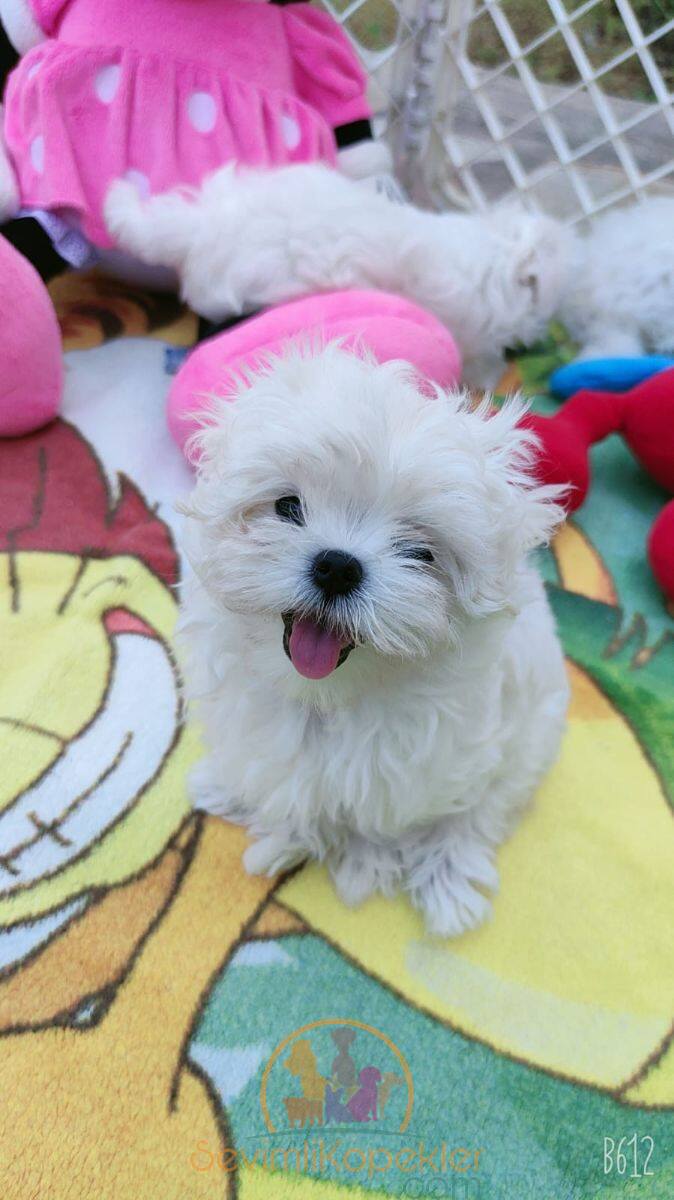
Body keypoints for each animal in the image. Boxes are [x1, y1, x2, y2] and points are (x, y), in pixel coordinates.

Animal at [178, 345, 566, 936]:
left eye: (420, 551)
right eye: (288, 506)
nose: (337, 566)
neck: (324, 698)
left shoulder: (421, 762)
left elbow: (384, 816)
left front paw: (364, 861)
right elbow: (282, 777)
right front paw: (286, 832)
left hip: (527, 737)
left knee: (479, 811)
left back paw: (448, 878)